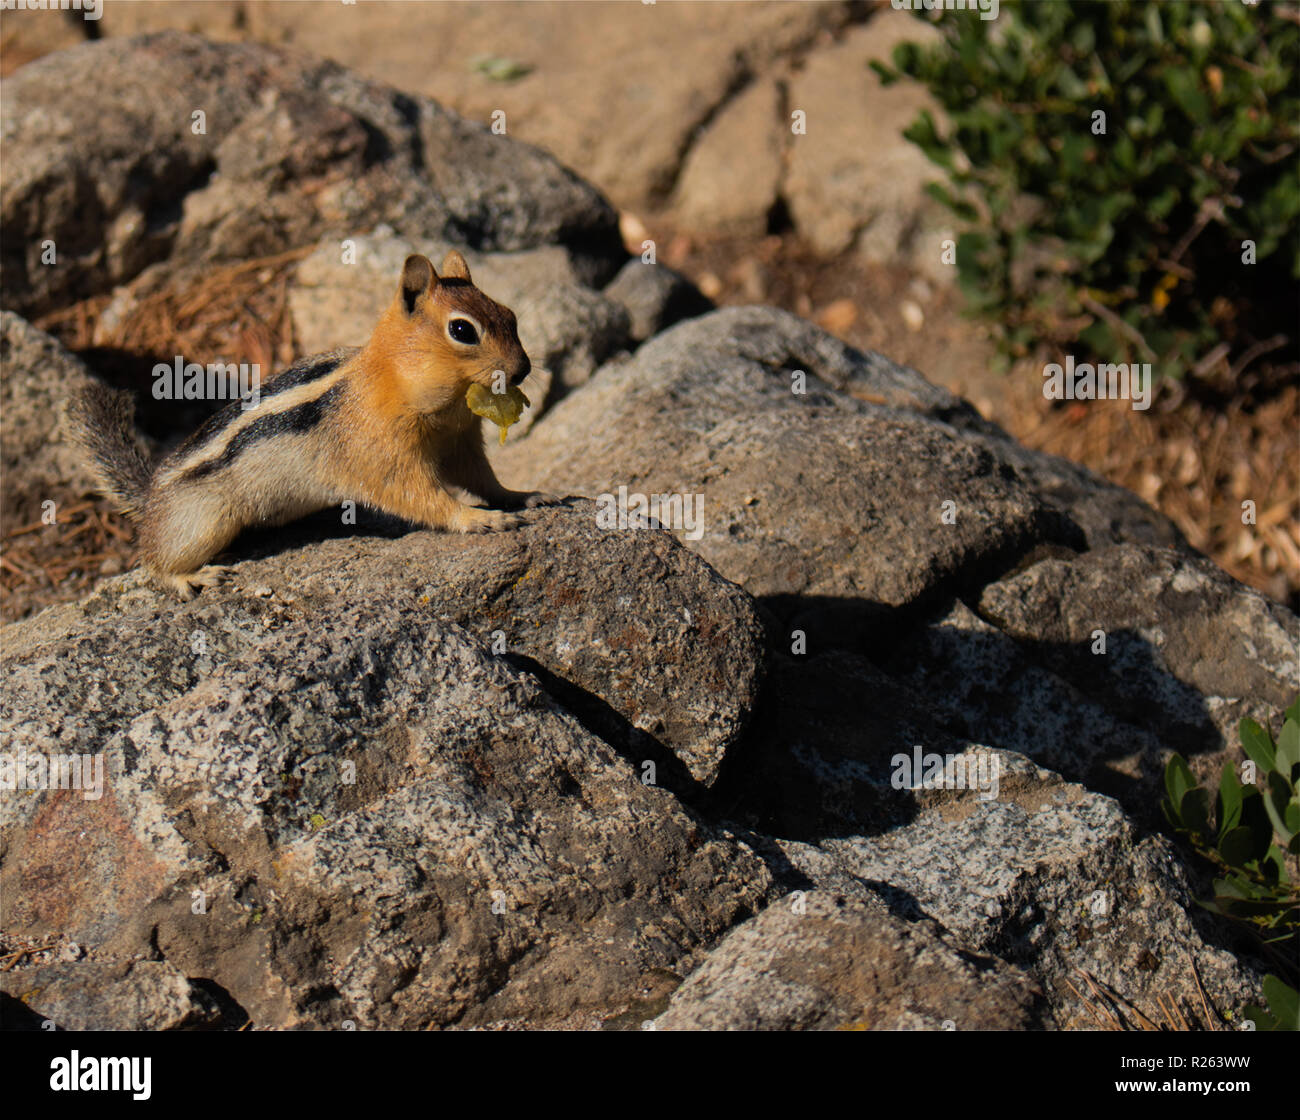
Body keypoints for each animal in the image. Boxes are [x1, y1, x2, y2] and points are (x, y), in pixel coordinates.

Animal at [68, 250, 557, 599]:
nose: (522, 369)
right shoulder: (381, 450)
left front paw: (522, 495)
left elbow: (482, 478)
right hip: (204, 522)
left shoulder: (459, 440)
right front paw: (476, 519)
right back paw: (188, 579)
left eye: (510, 315)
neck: (398, 378)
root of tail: (151, 495)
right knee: (152, 561)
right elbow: (418, 495)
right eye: (462, 331)